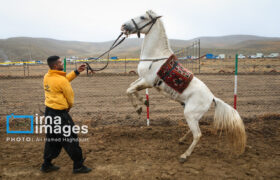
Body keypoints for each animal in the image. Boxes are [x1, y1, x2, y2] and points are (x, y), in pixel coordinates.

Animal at [121, 9, 246, 162]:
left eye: (143, 17)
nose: (124, 26)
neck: (155, 57)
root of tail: (212, 97)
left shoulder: (148, 81)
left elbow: (129, 89)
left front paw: (139, 108)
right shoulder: (142, 79)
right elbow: (131, 87)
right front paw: (144, 102)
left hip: (190, 114)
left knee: (198, 134)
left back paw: (184, 155)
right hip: (192, 114)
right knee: (194, 130)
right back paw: (181, 139)